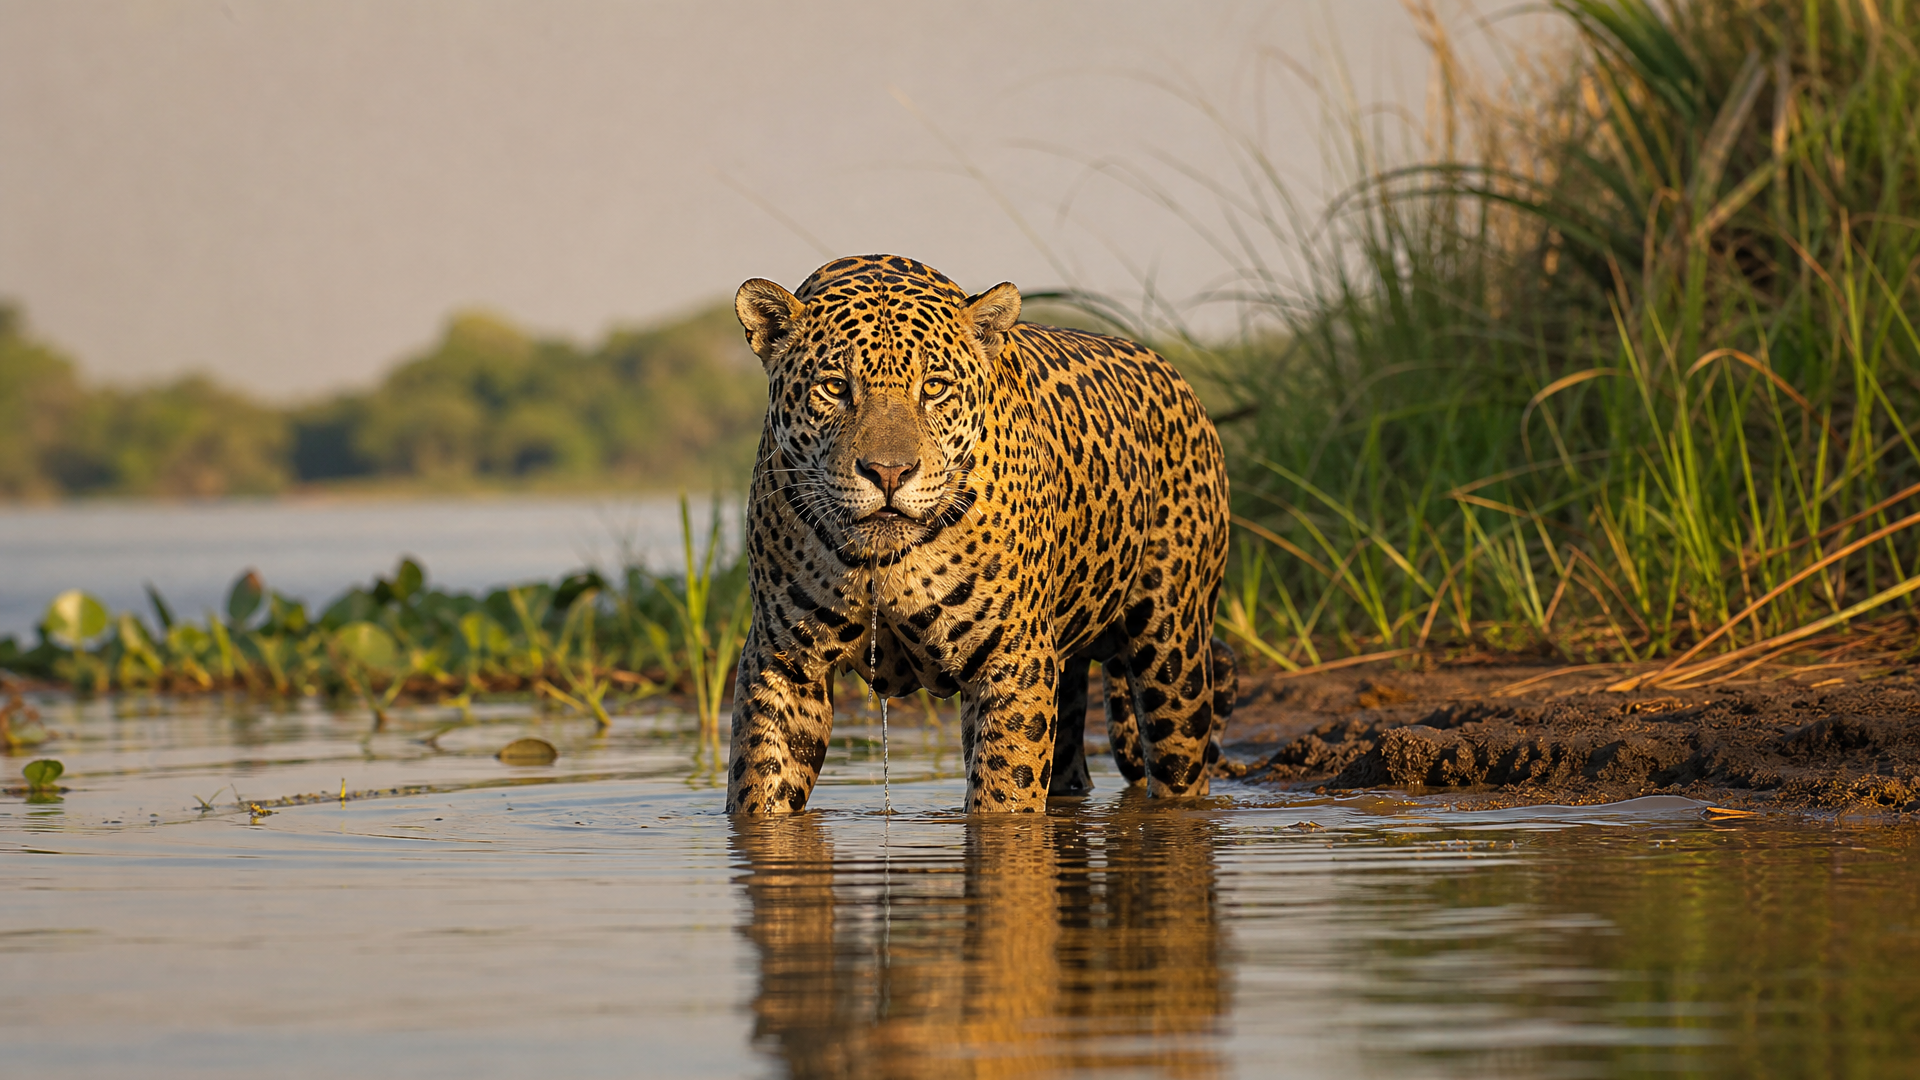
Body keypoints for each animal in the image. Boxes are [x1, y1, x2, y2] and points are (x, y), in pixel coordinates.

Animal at [725, 254, 1235, 815]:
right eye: (835, 387)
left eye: (934, 387)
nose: (888, 473)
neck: (884, 563)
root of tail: (1173, 375)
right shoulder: (783, 661)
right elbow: (760, 786)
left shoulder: (1013, 661)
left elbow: (1005, 796)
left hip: (1173, 652)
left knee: (1179, 763)